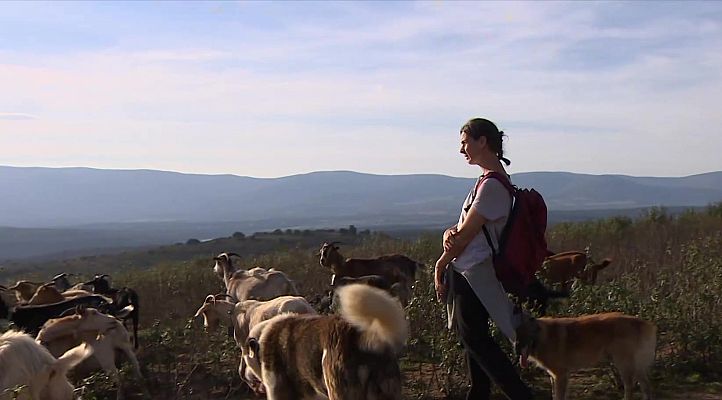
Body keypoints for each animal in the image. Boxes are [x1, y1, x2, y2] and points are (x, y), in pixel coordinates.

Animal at [512, 312, 652, 400]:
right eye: (516, 335)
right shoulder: (554, 376)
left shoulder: (560, 376)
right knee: (645, 385)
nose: (516, 350)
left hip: (623, 364)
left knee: (630, 387)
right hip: (635, 365)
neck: (542, 336)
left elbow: (559, 396)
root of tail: (639, 321)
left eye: (525, 334)